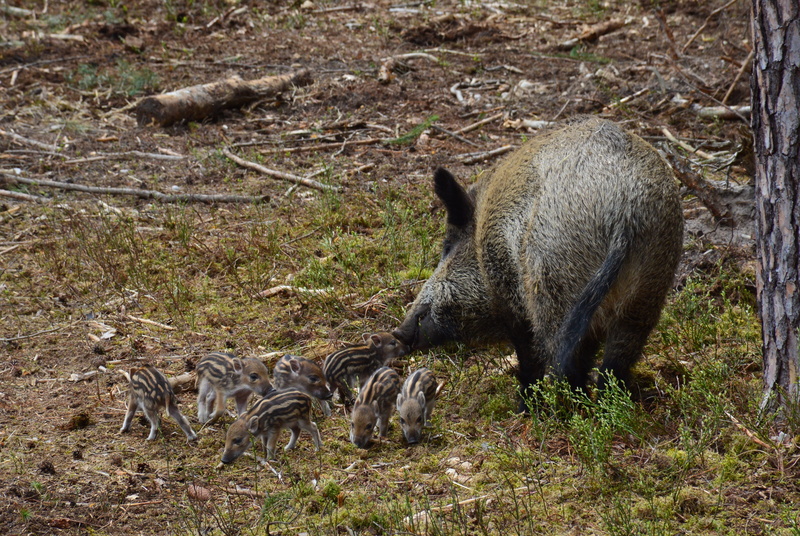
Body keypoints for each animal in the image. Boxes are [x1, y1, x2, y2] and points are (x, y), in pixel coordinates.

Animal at [393, 118, 683, 405]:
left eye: (447, 247)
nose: (399, 333)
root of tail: (626, 209)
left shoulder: (512, 298)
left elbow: (528, 354)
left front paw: (523, 404)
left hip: (555, 283)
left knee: (562, 359)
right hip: (649, 288)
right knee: (618, 360)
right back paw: (606, 402)